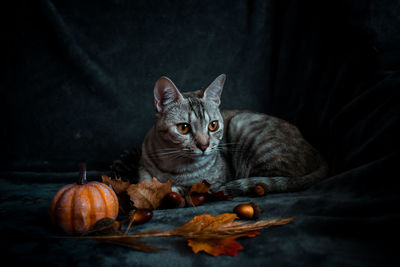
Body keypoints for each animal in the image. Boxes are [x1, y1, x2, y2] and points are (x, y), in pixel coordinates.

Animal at [138, 74, 328, 197]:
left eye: (213, 125)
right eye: (184, 128)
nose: (204, 145)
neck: (175, 167)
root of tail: (317, 153)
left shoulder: (214, 181)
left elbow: (192, 187)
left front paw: (175, 190)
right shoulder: (143, 166)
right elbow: (144, 181)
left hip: (243, 124)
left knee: (275, 180)